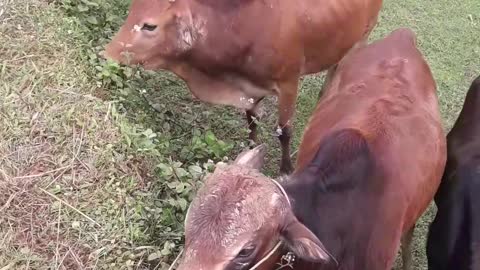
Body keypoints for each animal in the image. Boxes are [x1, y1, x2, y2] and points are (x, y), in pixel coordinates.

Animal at [104, 0, 382, 174]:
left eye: (150, 25)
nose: (107, 54)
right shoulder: (250, 88)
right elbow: (251, 121)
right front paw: (251, 150)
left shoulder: (288, 83)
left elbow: (284, 132)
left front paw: (285, 169)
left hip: (361, 38)